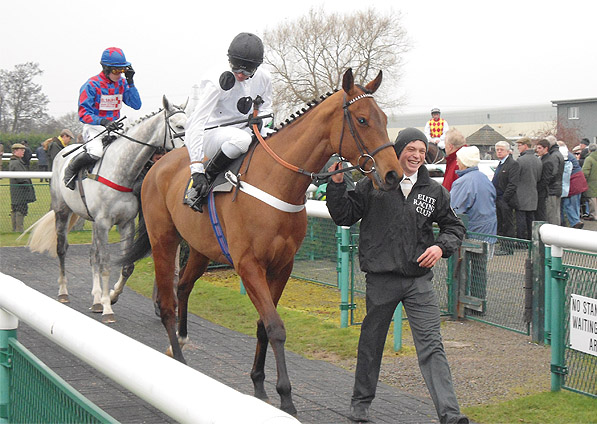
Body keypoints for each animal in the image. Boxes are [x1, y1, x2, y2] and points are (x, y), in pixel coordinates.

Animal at [22, 94, 186, 322]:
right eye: (179, 126)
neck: (121, 171)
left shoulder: (125, 223)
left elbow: (126, 266)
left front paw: (111, 296)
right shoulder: (103, 222)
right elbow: (106, 264)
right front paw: (108, 309)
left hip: (91, 221)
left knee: (93, 255)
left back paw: (97, 299)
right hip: (62, 211)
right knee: (62, 249)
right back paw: (64, 292)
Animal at [120, 68, 400, 414]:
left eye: (384, 118)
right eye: (362, 120)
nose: (393, 174)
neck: (277, 182)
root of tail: (157, 165)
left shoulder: (282, 266)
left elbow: (263, 325)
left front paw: (259, 384)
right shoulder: (249, 265)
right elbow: (276, 327)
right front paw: (286, 397)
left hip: (199, 247)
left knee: (183, 286)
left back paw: (181, 342)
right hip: (164, 239)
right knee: (167, 302)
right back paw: (179, 355)